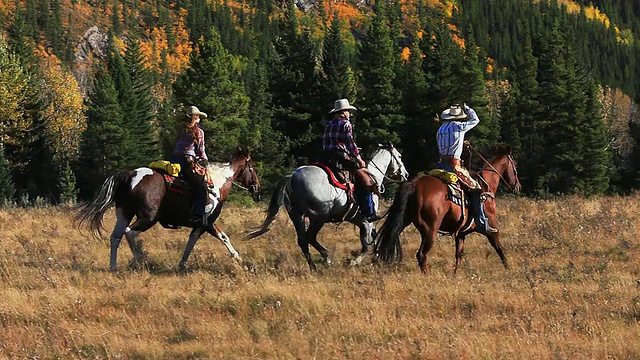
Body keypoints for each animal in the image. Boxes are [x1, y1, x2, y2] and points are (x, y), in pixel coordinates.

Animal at [76, 146, 262, 270]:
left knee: (116, 237)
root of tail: (129, 175)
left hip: (124, 213)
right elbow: (223, 237)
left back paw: (113, 267)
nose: (256, 186)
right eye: (252, 167)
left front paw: (181, 265)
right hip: (148, 218)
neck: (216, 184)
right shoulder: (207, 222)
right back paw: (141, 260)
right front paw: (238, 259)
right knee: (130, 233)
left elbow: (190, 244)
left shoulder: (198, 225)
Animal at [248, 143, 408, 270]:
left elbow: (373, 238)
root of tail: (292, 176)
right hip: (318, 217)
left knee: (303, 240)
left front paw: (377, 257)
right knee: (310, 237)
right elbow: (366, 245)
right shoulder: (366, 220)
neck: (373, 176)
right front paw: (353, 262)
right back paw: (326, 258)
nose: (405, 174)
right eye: (400, 156)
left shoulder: (359, 220)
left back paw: (313, 266)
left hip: (297, 216)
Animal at [376, 143, 520, 272]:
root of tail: (414, 185)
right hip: (430, 230)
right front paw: (509, 270)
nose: (518, 186)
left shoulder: (461, 233)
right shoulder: (491, 227)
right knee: (422, 255)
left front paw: (456, 274)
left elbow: (459, 254)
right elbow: (499, 248)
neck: (486, 185)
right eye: (515, 165)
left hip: (404, 222)